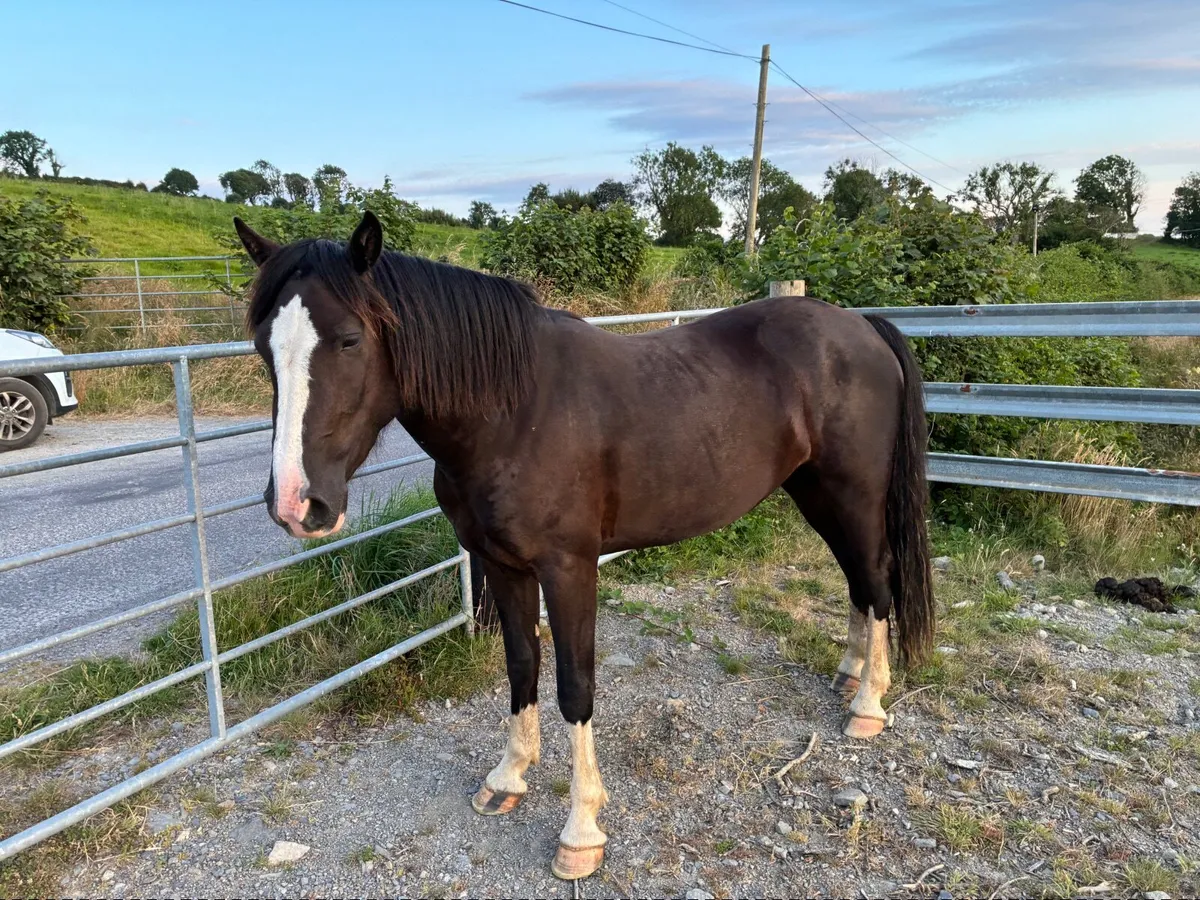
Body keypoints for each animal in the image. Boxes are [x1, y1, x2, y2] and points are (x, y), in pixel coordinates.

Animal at [234, 211, 934, 881]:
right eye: (264, 347)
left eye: (349, 340)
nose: (296, 505)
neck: (513, 413)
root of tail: (863, 327)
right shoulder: (502, 565)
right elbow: (521, 665)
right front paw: (508, 778)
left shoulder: (568, 569)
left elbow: (576, 687)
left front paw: (581, 833)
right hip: (815, 493)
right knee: (858, 581)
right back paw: (849, 676)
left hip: (852, 495)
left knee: (876, 578)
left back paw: (867, 706)